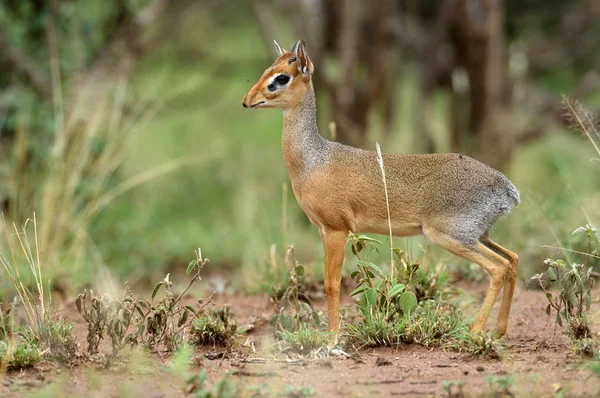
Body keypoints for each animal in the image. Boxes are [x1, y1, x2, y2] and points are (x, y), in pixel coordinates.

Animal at [244, 40, 520, 338]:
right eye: (268, 68)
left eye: (282, 77)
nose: (247, 100)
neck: (314, 160)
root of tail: (507, 189)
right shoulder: (323, 229)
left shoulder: (336, 229)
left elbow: (332, 284)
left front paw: (332, 337)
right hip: (480, 235)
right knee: (512, 259)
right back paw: (498, 331)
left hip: (451, 236)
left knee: (498, 267)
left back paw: (475, 331)